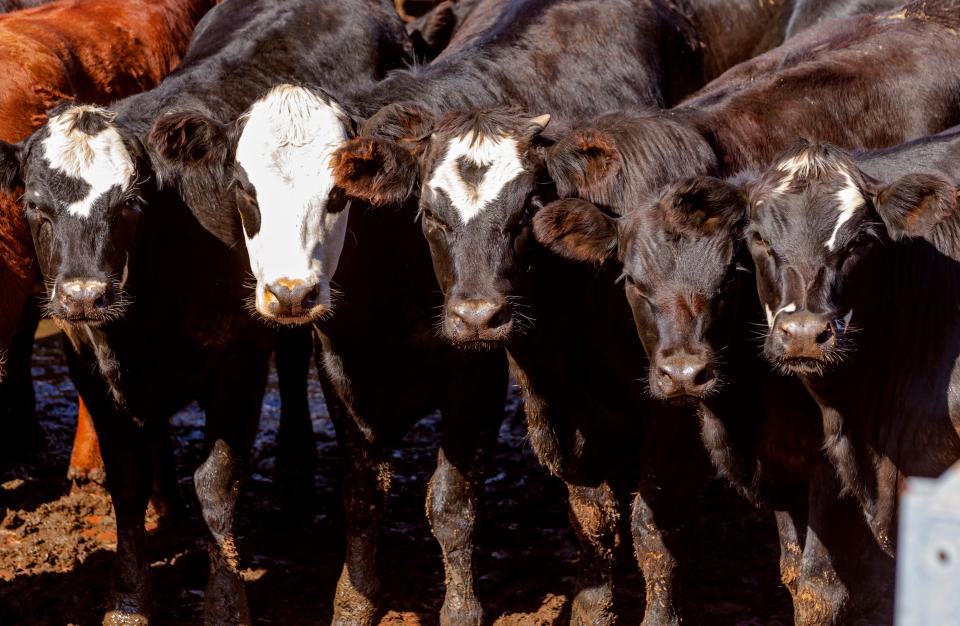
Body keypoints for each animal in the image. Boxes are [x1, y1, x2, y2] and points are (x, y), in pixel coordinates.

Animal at [0, 2, 412, 620]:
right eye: (34, 204)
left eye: (129, 203)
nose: (83, 296)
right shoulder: (87, 364)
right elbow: (126, 481)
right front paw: (129, 597)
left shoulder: (238, 361)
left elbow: (217, 484)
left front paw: (224, 604)